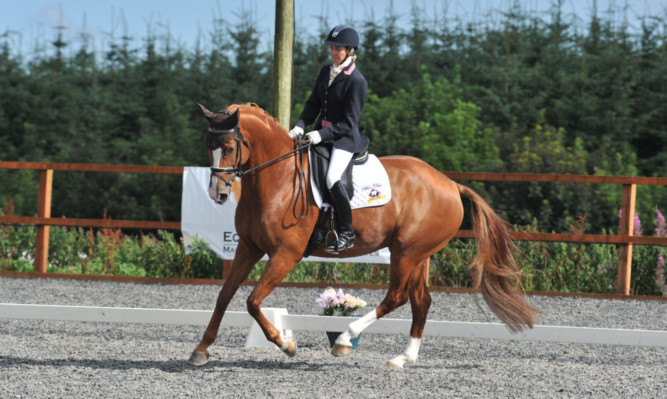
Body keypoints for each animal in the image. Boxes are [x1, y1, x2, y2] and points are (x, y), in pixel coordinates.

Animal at [189, 102, 536, 368]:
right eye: (207, 146)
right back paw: (403, 358)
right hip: (419, 255)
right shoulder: (248, 248)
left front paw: (285, 344)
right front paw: (201, 349)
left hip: (406, 252)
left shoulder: (286, 254)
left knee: (397, 297)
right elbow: (225, 295)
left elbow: (252, 301)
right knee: (421, 301)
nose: (218, 194)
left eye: (229, 147)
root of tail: (451, 184)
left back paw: (345, 339)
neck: (279, 178)